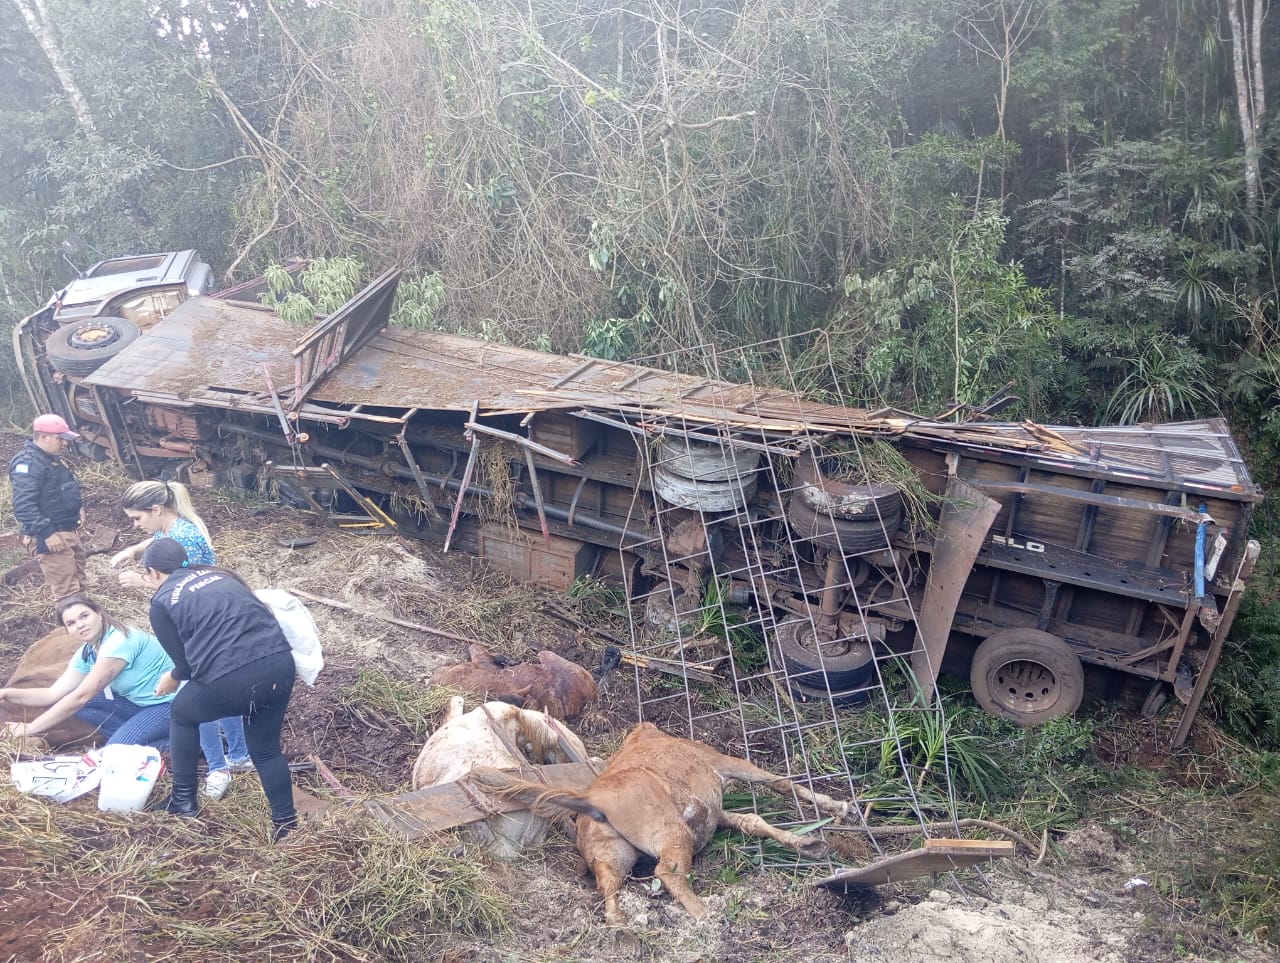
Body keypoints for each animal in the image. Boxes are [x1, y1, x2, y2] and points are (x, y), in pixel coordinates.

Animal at [481, 722, 849, 927]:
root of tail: (590, 798)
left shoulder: (714, 813)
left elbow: (752, 821)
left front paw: (809, 844)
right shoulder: (724, 763)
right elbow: (779, 782)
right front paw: (837, 807)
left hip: (613, 854)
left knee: (609, 888)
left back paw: (621, 929)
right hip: (672, 832)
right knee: (667, 872)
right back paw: (707, 916)